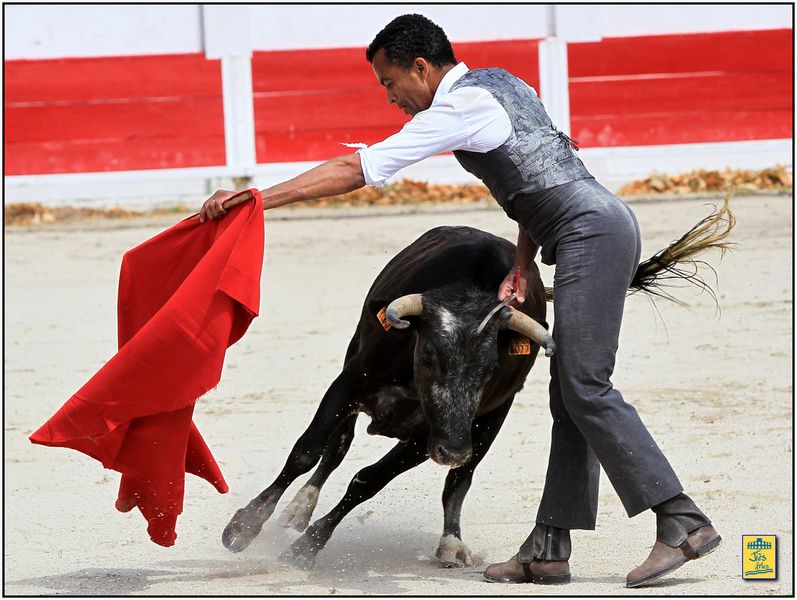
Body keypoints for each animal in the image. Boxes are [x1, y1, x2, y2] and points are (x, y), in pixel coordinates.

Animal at [221, 202, 732, 568]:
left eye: (490, 368)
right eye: (429, 354)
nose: (453, 449)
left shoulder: (436, 433)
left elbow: (368, 480)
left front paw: (308, 547)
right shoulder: (348, 385)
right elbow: (307, 450)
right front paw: (244, 528)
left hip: (486, 425)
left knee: (456, 483)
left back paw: (450, 544)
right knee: (337, 446)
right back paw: (297, 509)